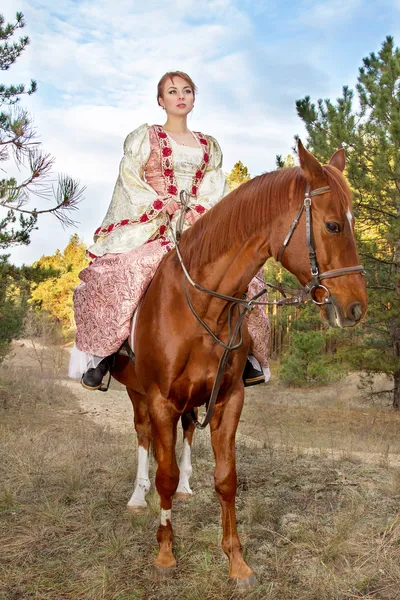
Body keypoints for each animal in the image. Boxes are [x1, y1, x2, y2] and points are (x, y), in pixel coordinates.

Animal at [111, 143, 368, 588]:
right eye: (334, 225)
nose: (356, 307)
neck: (203, 308)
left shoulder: (228, 398)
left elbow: (226, 479)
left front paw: (236, 561)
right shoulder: (160, 400)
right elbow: (164, 475)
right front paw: (165, 554)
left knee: (186, 435)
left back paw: (187, 489)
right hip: (136, 392)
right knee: (144, 439)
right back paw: (138, 495)